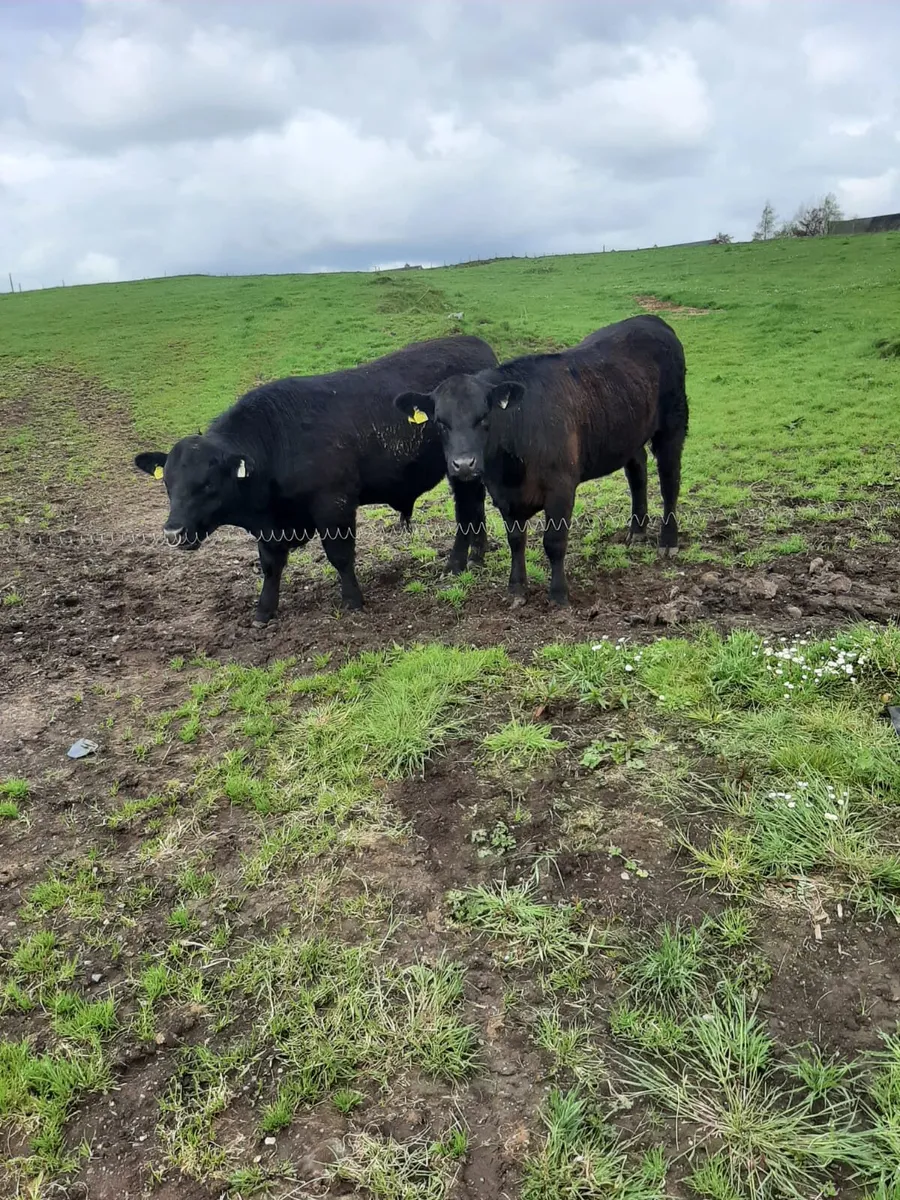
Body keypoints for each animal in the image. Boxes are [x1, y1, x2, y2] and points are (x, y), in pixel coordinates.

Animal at [133, 335, 497, 623]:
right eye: (167, 484)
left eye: (207, 483)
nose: (173, 532)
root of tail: (472, 341)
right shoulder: (271, 527)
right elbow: (270, 564)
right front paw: (264, 611)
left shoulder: (334, 504)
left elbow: (340, 555)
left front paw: (353, 600)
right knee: (474, 506)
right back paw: (478, 555)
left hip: (462, 468)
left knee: (466, 510)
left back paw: (457, 564)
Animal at [393, 314, 688, 608]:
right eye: (441, 422)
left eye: (484, 417)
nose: (464, 464)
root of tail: (650, 319)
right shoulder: (503, 495)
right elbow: (516, 540)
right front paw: (516, 588)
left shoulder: (561, 487)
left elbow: (554, 542)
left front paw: (558, 594)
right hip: (630, 434)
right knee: (637, 473)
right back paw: (637, 531)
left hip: (673, 424)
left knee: (669, 482)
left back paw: (668, 540)